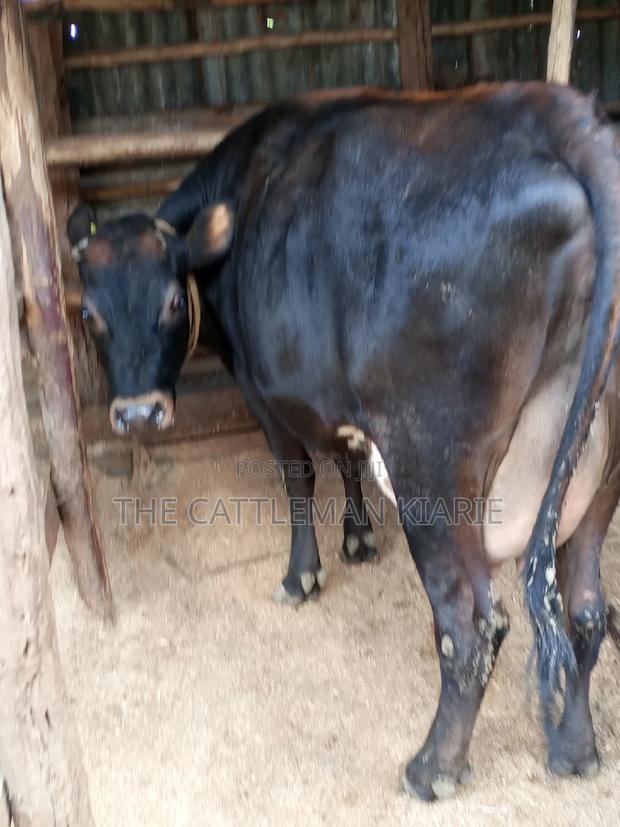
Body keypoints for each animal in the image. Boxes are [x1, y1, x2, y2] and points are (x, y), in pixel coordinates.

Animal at [67, 82, 620, 800]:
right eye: (89, 312)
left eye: (171, 301)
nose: (137, 413)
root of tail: (551, 110)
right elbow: (346, 456)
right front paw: (358, 537)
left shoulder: (262, 390)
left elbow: (298, 477)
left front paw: (302, 572)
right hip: (596, 473)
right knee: (584, 611)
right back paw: (576, 748)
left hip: (433, 467)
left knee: (471, 627)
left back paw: (433, 766)